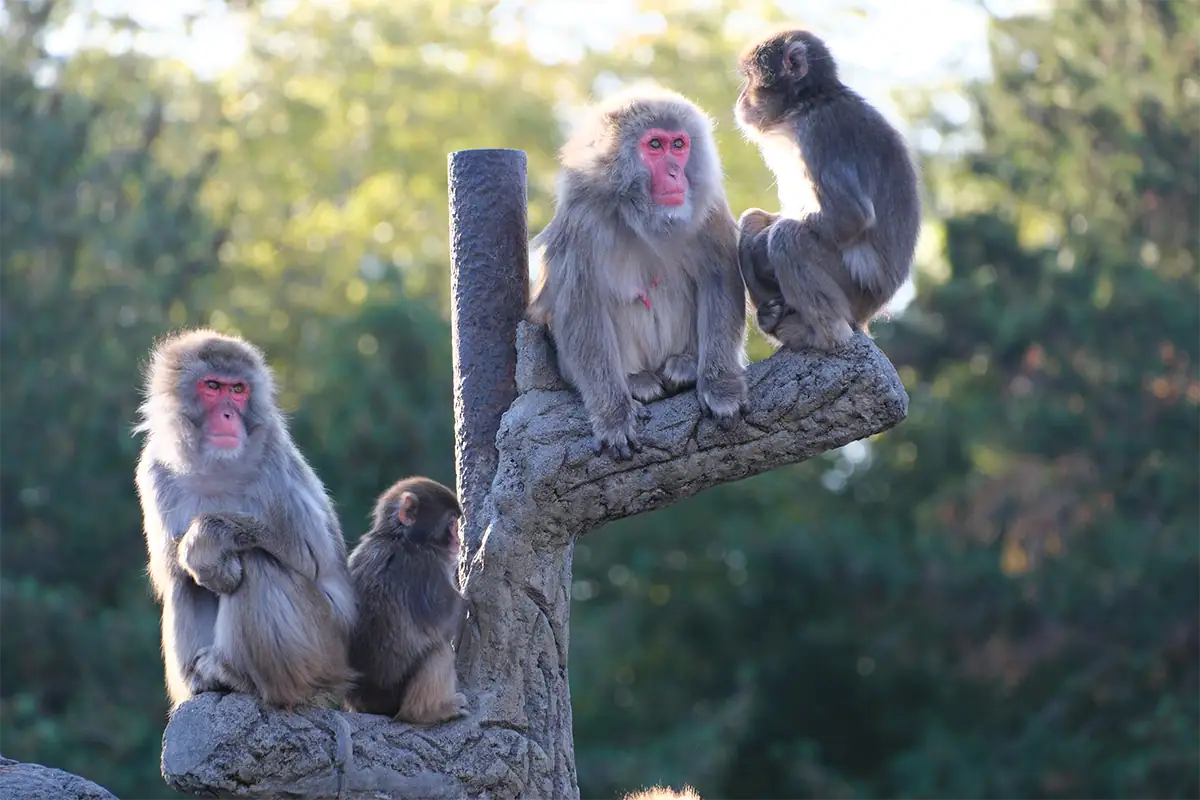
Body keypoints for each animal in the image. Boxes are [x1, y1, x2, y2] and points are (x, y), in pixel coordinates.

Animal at [133, 328, 357, 710]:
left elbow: (312, 554)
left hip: (322, 648)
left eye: (238, 390)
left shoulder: (273, 458)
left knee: (255, 560)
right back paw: (201, 681)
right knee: (184, 582)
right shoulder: (153, 471)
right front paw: (201, 557)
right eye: (212, 386)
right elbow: (169, 568)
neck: (216, 465)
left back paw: (238, 676)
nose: (227, 415)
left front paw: (206, 541)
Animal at [344, 476, 469, 725]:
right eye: (451, 522)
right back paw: (425, 712)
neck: (399, 537)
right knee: (440, 652)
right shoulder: (428, 568)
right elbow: (451, 619)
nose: (457, 540)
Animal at [528, 85, 748, 460]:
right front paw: (613, 417)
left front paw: (721, 387)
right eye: (655, 145)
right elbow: (581, 308)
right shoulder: (581, 216)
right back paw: (636, 381)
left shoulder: (709, 206)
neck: (637, 211)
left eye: (678, 144)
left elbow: (720, 277)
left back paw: (685, 367)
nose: (675, 173)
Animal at [733, 28, 921, 351]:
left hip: (856, 292)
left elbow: (850, 215)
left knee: (788, 237)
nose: (742, 98)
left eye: (750, 78)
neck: (808, 104)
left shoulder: (821, 132)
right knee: (753, 219)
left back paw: (825, 336)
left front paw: (760, 250)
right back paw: (772, 317)